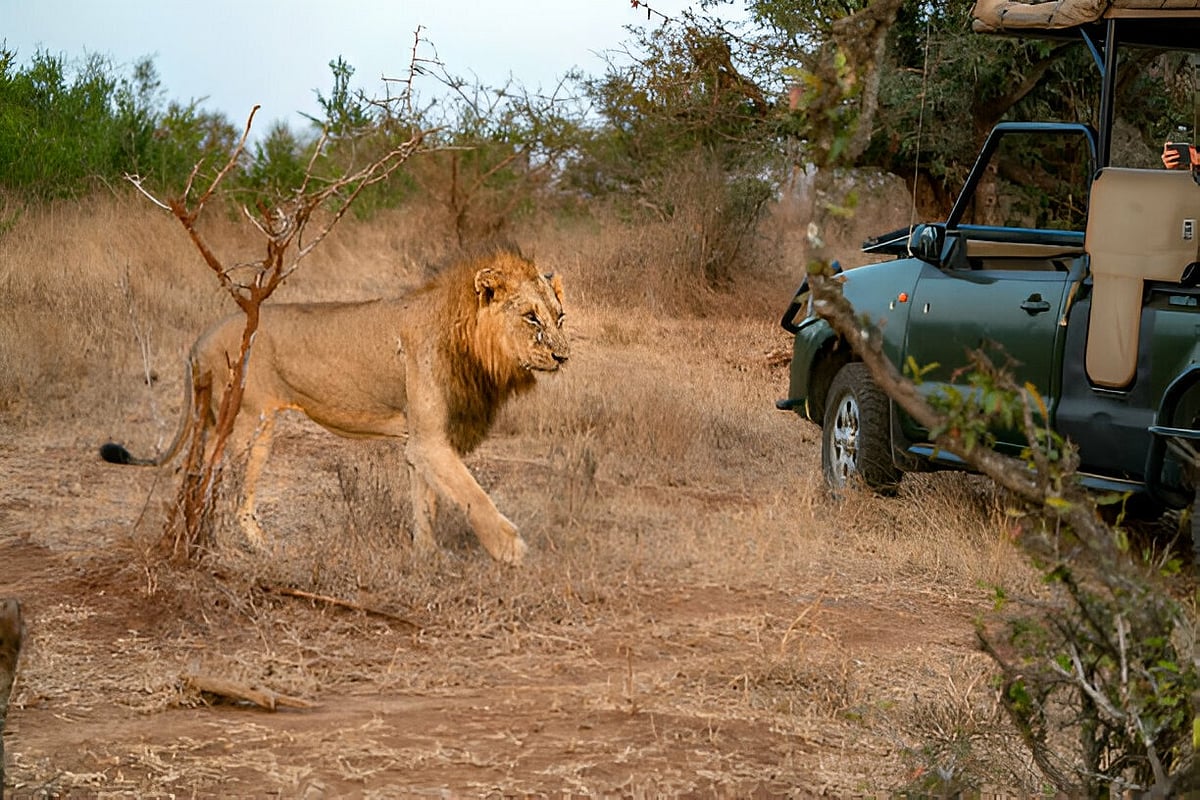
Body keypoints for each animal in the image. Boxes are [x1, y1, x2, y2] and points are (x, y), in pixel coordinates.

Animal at [100, 244, 568, 565]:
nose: (563, 356)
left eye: (559, 317)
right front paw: (510, 549)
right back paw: (251, 547)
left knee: (195, 471)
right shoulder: (430, 441)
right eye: (530, 317)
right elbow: (473, 495)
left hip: (218, 419)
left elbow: (427, 502)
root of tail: (201, 338)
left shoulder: (420, 440)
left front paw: (427, 555)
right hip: (251, 420)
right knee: (229, 488)